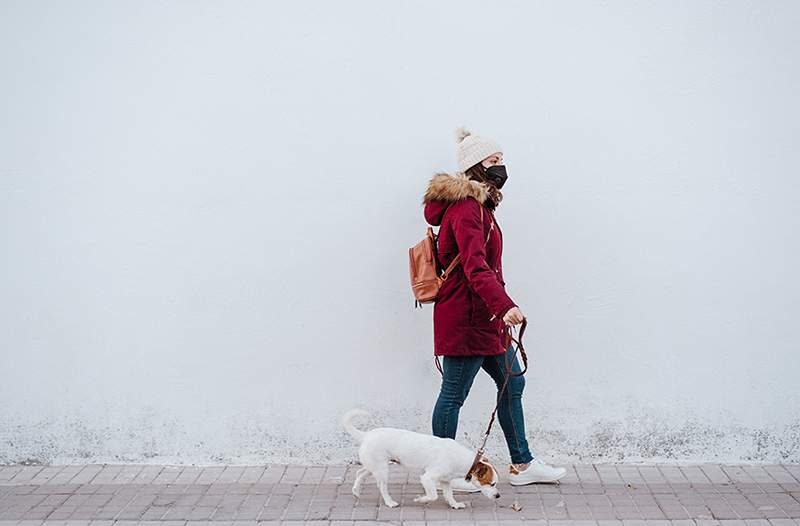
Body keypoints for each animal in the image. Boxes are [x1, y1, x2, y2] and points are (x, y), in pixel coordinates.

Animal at [340, 410, 500, 510]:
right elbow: (433, 495)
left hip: (373, 466)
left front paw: (454, 504)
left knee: (359, 473)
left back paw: (356, 491)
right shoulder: (427, 478)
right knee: (381, 487)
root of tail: (366, 435)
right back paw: (390, 502)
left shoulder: (446, 481)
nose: (498, 496)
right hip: (382, 469)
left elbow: (449, 495)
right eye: (491, 484)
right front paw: (421, 499)